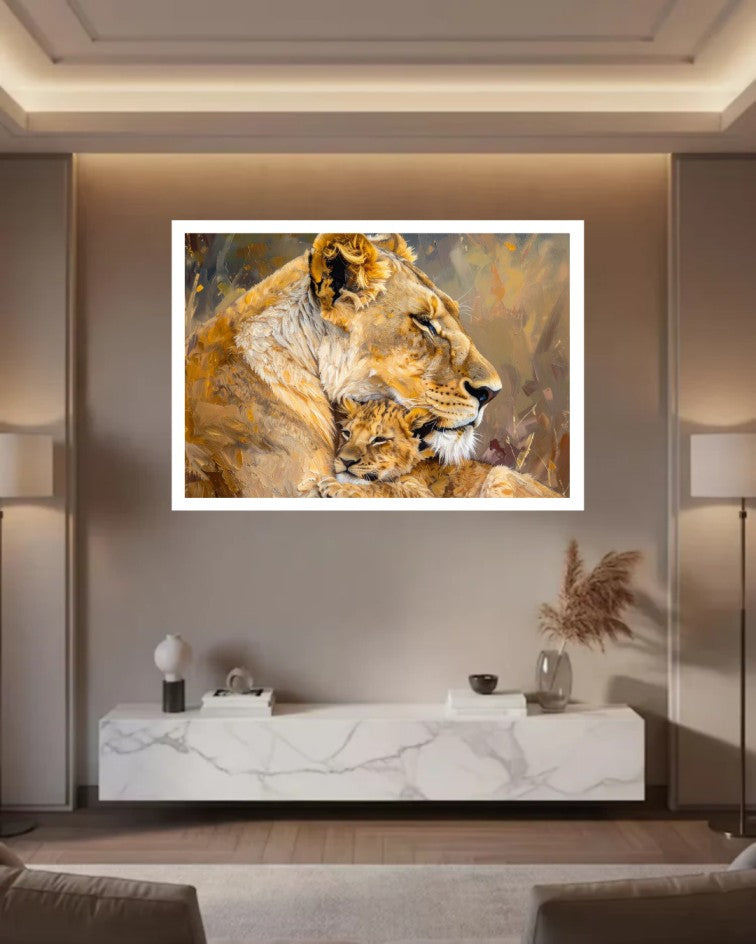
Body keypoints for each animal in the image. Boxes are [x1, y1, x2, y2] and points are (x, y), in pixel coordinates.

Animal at [305, 399, 561, 499]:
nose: (346, 461)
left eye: (379, 439)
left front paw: (336, 486)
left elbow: (382, 489)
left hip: (500, 473)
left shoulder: (420, 494)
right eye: (347, 434)